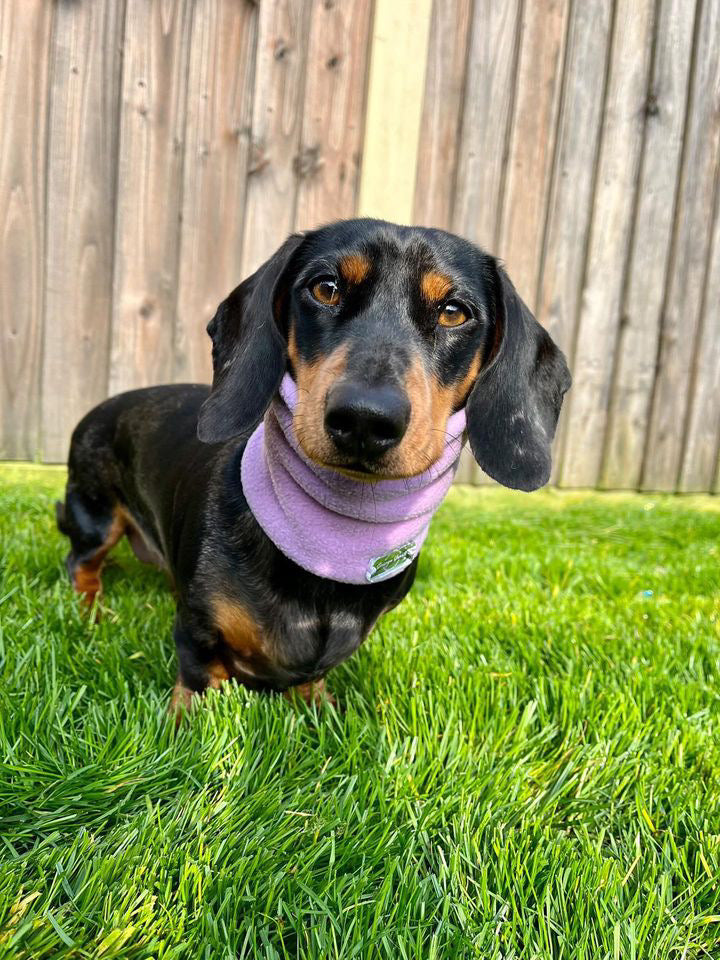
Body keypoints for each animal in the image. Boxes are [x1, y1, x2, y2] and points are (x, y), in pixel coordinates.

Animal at [56, 219, 572, 712]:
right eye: (325, 288)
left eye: (453, 312)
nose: (365, 418)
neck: (332, 548)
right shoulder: (197, 635)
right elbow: (198, 683)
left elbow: (312, 680)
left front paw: (317, 709)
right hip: (94, 515)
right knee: (80, 563)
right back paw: (92, 610)